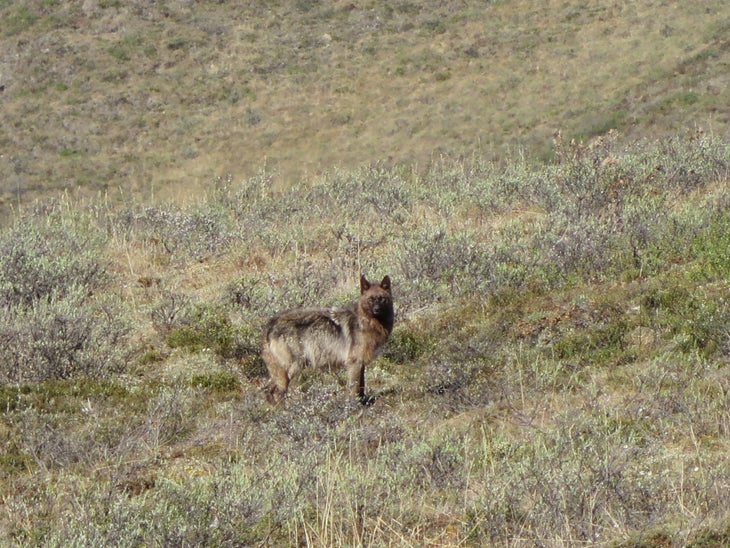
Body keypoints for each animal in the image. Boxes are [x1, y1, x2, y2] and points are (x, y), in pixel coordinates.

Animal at [262, 276, 392, 404]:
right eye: (370, 300)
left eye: (382, 299)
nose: (377, 310)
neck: (367, 322)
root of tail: (271, 324)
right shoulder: (354, 363)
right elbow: (355, 389)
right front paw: (356, 405)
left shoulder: (361, 364)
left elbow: (362, 386)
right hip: (292, 368)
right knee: (277, 391)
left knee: (268, 389)